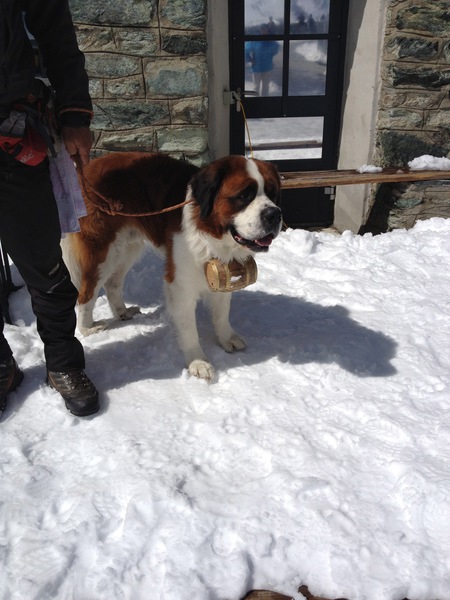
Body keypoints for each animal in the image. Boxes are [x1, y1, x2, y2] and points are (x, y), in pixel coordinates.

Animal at [62, 155, 282, 380]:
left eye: (273, 194)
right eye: (244, 196)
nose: (274, 214)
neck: (208, 232)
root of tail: (88, 167)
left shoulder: (223, 272)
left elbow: (222, 311)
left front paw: (226, 338)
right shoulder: (180, 284)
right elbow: (188, 327)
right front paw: (198, 362)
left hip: (127, 246)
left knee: (113, 283)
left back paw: (122, 312)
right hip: (102, 251)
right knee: (86, 293)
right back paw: (87, 328)